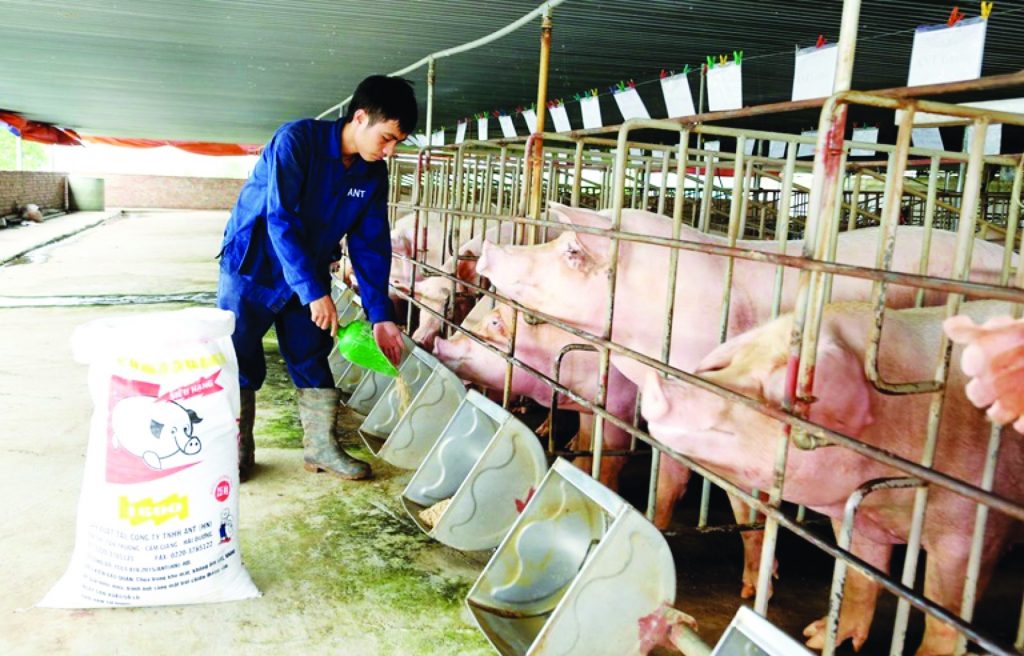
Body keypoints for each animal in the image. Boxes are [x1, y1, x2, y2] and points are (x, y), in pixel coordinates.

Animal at [432, 300, 639, 488]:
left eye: (495, 322)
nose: (437, 343)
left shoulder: (620, 410)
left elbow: (612, 457)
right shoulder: (588, 403)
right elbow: (587, 439)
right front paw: (578, 466)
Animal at [477, 202, 1010, 596]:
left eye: (570, 251)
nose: (487, 250)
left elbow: (745, 507)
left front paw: (754, 588)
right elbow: (669, 479)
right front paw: (651, 523)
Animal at [640, 300, 1024, 655]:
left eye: (776, 378)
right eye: (731, 364)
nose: (657, 382)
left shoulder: (969, 534)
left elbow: (943, 613)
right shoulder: (855, 516)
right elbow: (858, 577)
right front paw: (815, 636)